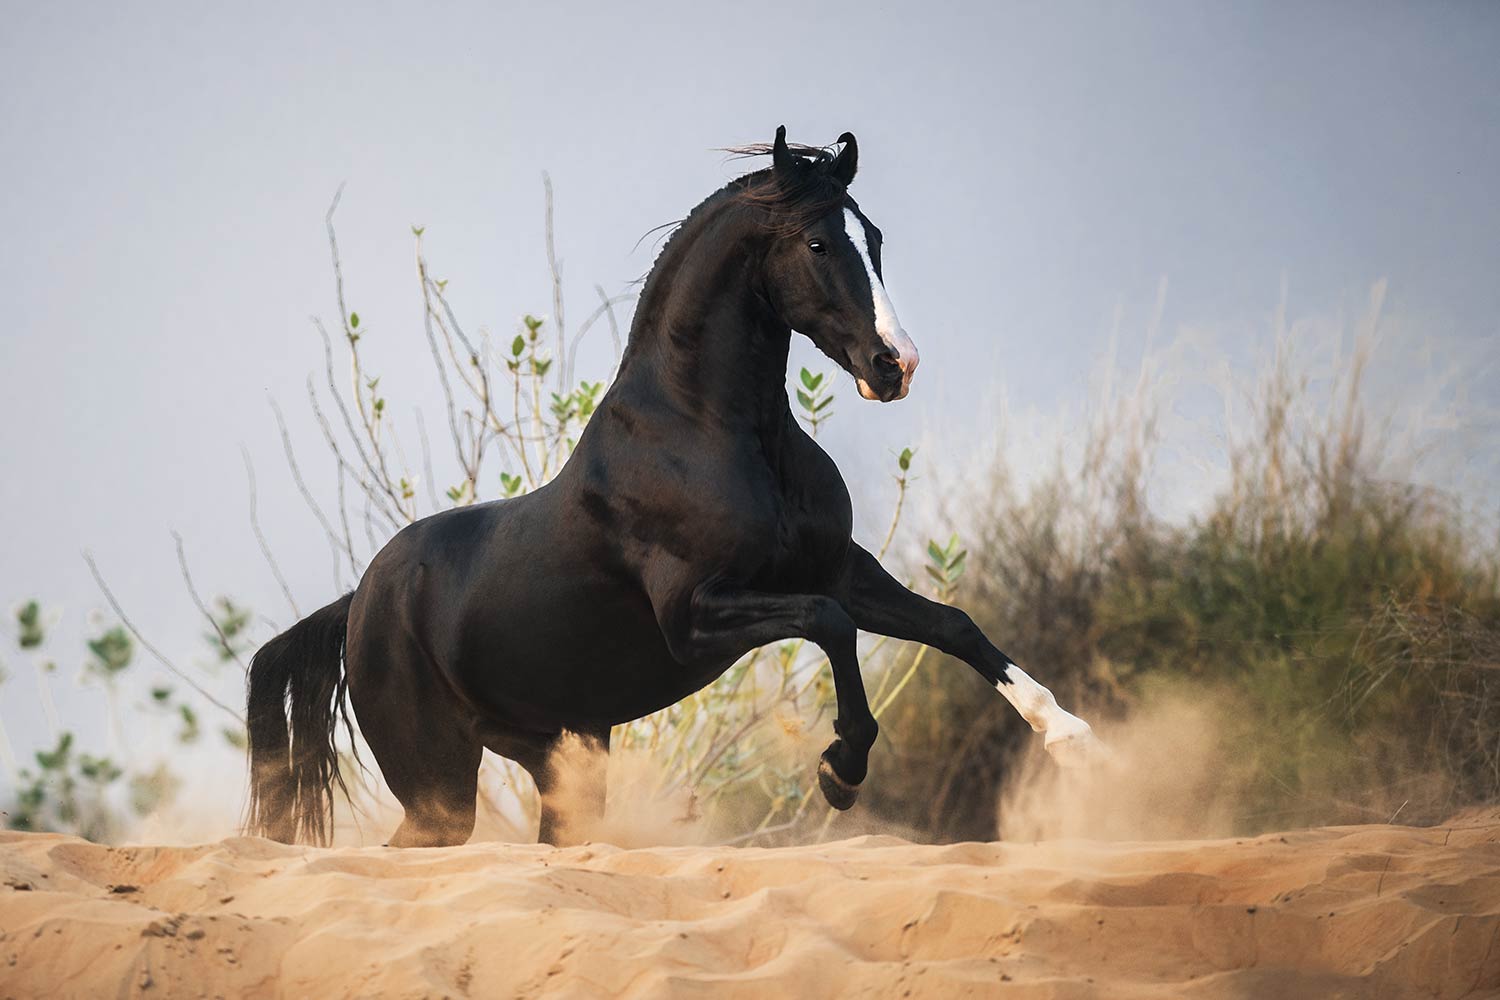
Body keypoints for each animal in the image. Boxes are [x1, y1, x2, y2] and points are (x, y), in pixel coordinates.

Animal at [246, 126, 1097, 848]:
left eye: (876, 240)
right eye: (819, 242)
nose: (896, 366)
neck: (713, 435)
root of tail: (359, 603)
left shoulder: (836, 568)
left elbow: (952, 624)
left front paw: (1072, 739)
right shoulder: (696, 612)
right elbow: (828, 625)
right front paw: (841, 771)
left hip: (559, 758)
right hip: (439, 784)